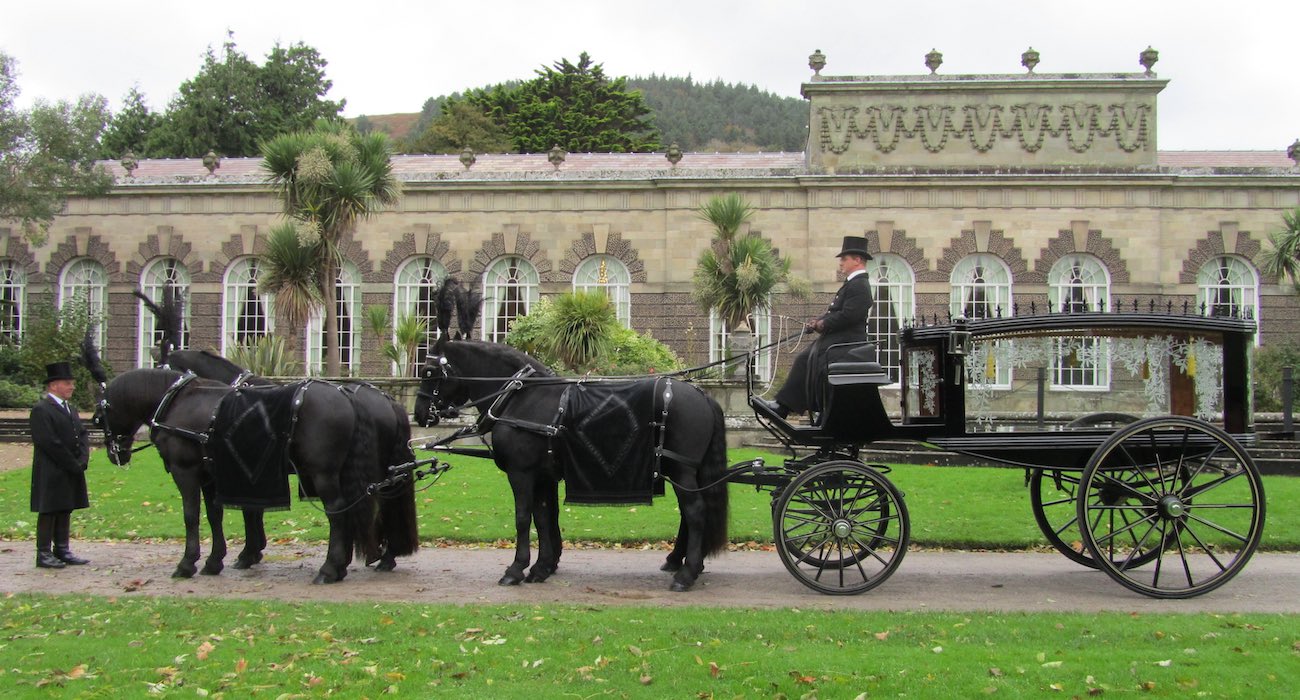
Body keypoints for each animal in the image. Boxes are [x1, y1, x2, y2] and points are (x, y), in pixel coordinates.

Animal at [97, 366, 395, 580]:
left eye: (100, 417)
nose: (115, 454)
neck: (178, 401)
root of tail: (347, 396)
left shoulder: (186, 471)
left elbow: (191, 516)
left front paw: (187, 563)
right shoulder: (212, 475)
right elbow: (214, 516)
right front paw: (215, 560)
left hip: (323, 474)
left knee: (337, 512)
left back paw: (330, 568)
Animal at [162, 346, 416, 569]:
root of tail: (388, 401)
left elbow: (248, 509)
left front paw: (248, 553)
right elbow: (249, 508)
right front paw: (252, 551)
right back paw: (383, 556)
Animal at [410, 338, 728, 588]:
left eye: (428, 371)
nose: (420, 413)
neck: (520, 396)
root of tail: (702, 395)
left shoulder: (521, 473)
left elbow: (523, 518)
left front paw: (516, 568)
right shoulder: (543, 475)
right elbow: (543, 516)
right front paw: (542, 566)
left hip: (681, 469)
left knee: (695, 512)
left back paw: (686, 573)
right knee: (690, 514)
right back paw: (685, 563)